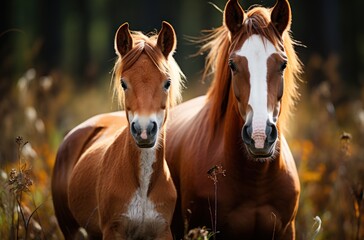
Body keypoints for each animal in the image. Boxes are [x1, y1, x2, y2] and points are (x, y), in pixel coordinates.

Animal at [51, 21, 185, 239]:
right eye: (123, 83)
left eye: (167, 83)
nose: (144, 130)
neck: (143, 186)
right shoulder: (113, 231)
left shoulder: (162, 231)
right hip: (71, 230)